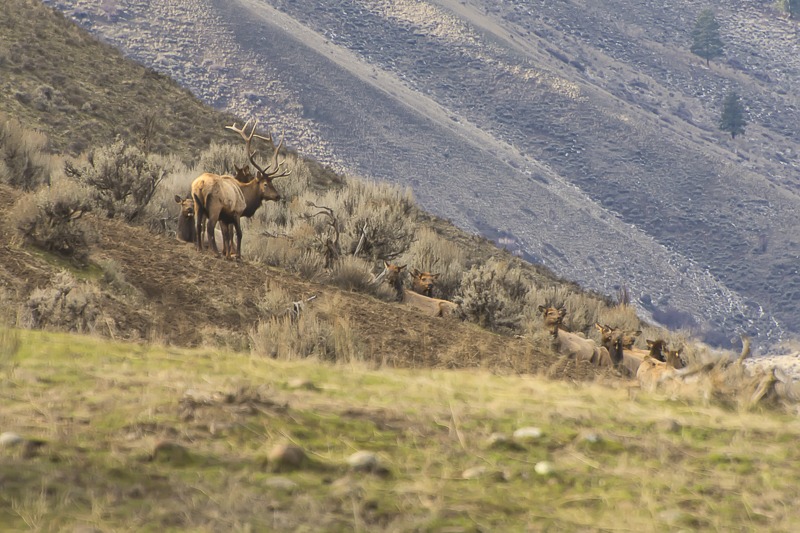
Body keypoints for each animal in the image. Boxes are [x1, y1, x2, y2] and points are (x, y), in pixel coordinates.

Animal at [191, 119, 290, 259]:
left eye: (272, 182)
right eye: (265, 184)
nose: (277, 196)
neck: (246, 197)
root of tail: (201, 183)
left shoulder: (225, 217)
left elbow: (227, 235)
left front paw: (227, 254)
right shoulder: (236, 213)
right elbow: (238, 233)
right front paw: (237, 255)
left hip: (198, 204)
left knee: (198, 224)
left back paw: (200, 248)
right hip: (214, 206)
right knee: (210, 227)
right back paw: (215, 252)